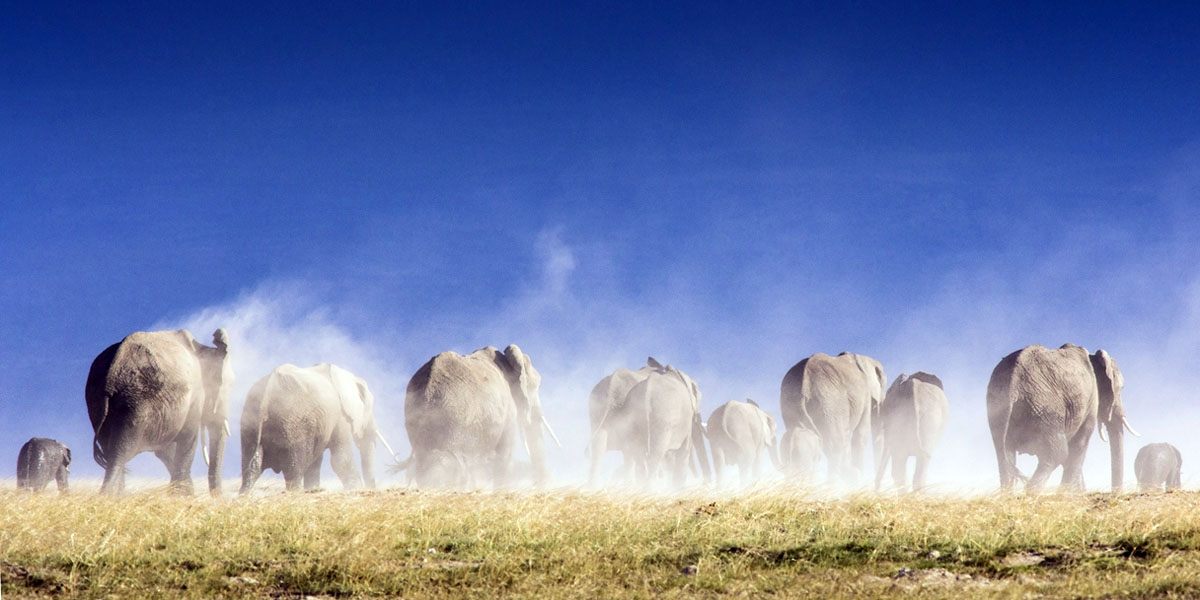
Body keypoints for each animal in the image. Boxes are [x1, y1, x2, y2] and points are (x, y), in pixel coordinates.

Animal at [85, 331, 232, 494]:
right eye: (229, 385)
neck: (202, 348)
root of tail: (111, 374)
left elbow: (166, 451)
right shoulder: (194, 397)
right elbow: (187, 441)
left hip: (97, 401)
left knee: (110, 451)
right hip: (137, 402)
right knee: (119, 454)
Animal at [238, 362, 379, 494]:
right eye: (369, 407)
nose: (371, 489)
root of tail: (267, 391)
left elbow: (315, 462)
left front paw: (312, 489)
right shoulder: (340, 416)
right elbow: (340, 460)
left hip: (250, 423)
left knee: (251, 468)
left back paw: (244, 495)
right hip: (294, 425)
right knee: (294, 470)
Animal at [782, 352, 888, 484]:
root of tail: (803, 385)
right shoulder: (865, 394)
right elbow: (860, 435)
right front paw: (856, 478)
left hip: (793, 402)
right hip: (830, 402)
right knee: (835, 444)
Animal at [988, 343, 1137, 492]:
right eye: (1121, 388)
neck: (1094, 356)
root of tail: (1013, 382)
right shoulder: (1091, 398)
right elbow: (1079, 445)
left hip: (999, 409)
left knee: (1005, 457)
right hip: (1046, 409)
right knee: (1056, 455)